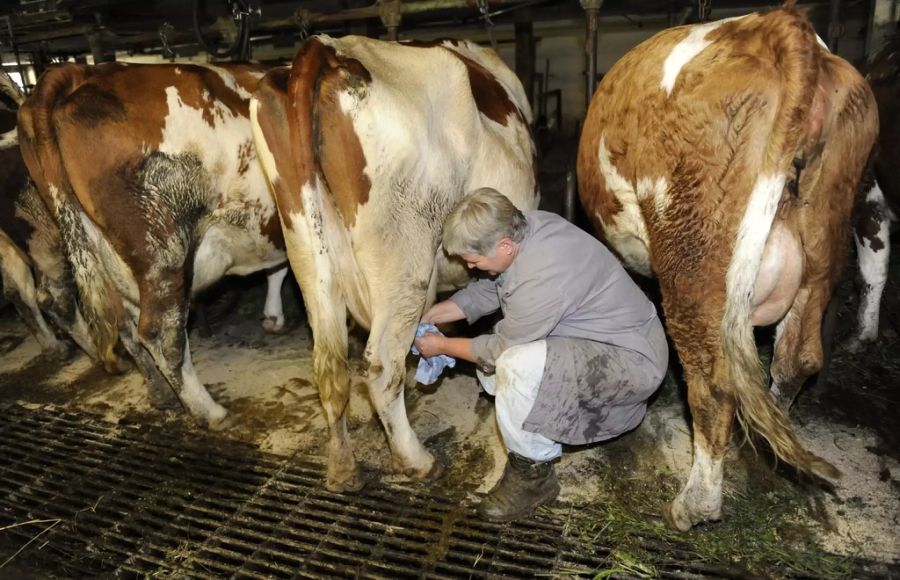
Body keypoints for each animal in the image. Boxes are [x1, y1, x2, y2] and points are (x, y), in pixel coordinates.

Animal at [18, 63, 288, 422]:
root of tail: (82, 74)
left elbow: (279, 268)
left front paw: (273, 316)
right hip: (164, 251)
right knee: (161, 333)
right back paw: (209, 411)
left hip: (108, 260)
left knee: (126, 327)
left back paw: (161, 394)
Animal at [250, 35, 536, 490]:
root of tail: (330, 49)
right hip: (403, 256)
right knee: (383, 365)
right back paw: (416, 460)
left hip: (305, 243)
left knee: (330, 364)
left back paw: (342, 467)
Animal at [576, 4, 880, 532]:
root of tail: (779, 27)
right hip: (825, 236)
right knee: (796, 359)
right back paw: (767, 459)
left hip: (693, 258)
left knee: (714, 384)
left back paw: (694, 505)